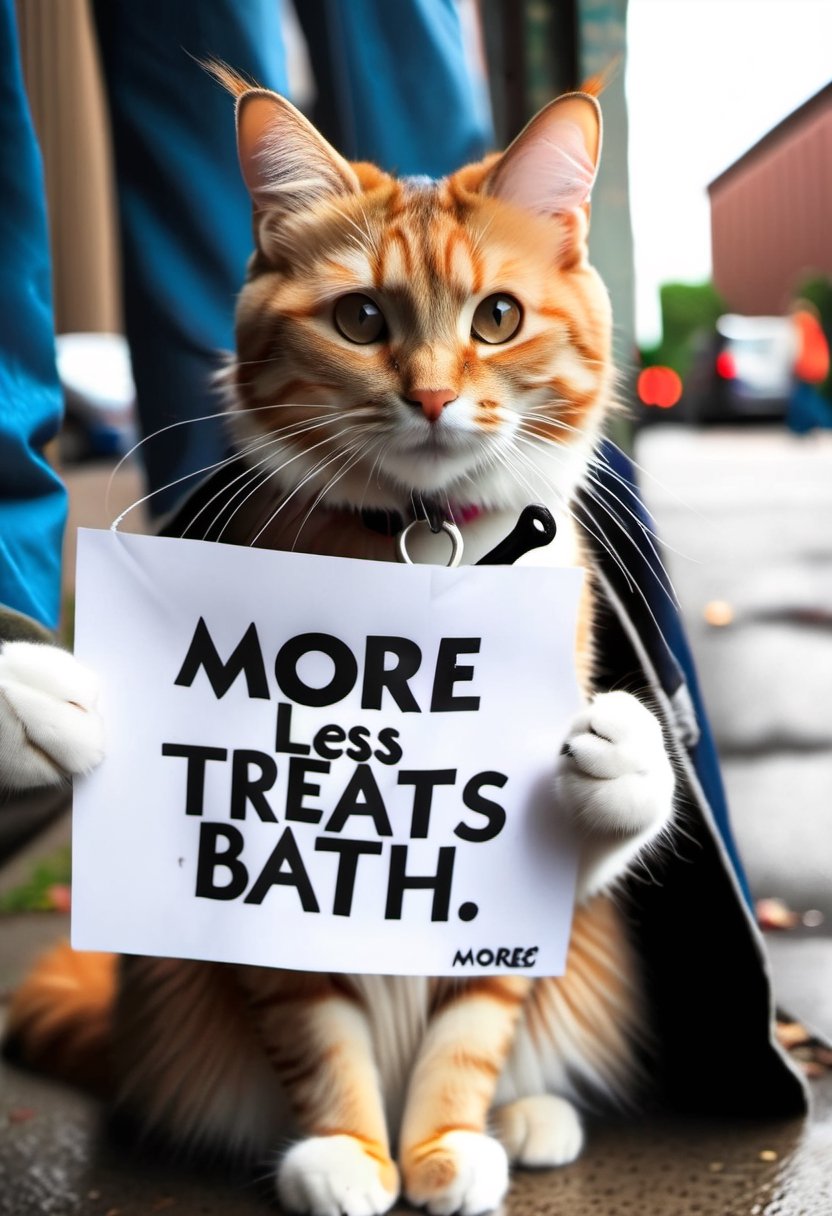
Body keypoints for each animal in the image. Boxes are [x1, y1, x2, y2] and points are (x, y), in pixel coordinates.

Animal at [8, 76, 676, 1216]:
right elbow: (318, 1038)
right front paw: (351, 1152)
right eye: (361, 319)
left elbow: (474, 1023)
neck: (418, 548)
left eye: (497, 318)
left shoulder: (520, 897)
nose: (433, 396)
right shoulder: (268, 898)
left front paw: (442, 1146)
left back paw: (525, 1119)